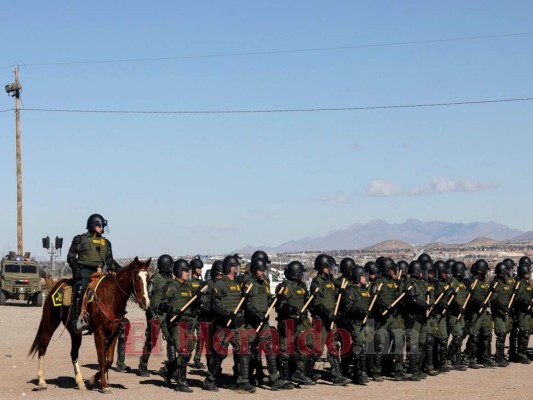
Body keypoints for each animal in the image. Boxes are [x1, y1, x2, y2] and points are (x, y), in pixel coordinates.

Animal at [29, 258, 151, 392]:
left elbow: (109, 359)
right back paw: (42, 381)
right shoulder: (99, 332)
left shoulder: (114, 332)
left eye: (148, 279)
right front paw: (104, 385)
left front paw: (93, 380)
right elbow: (101, 359)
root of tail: (57, 284)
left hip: (75, 332)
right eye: (137, 278)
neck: (111, 296)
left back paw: (80, 382)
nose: (146, 302)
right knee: (42, 348)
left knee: (73, 353)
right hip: (49, 325)